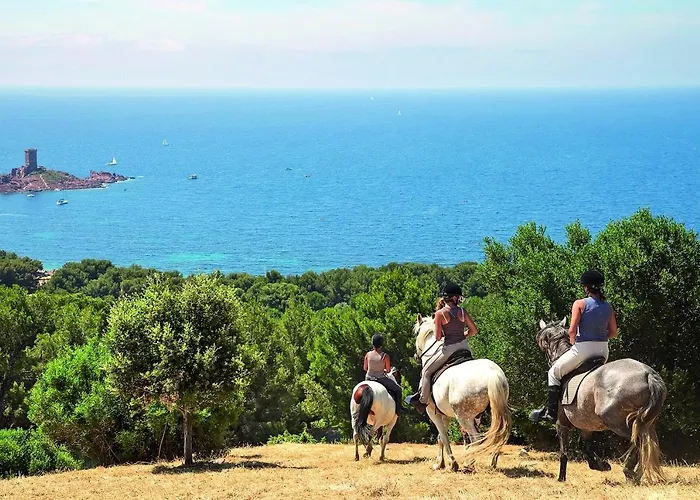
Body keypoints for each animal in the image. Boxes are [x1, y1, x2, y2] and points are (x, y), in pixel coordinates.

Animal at [414, 315, 511, 471]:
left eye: (416, 333)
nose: (416, 356)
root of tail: (492, 374)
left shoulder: (433, 413)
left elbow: (443, 436)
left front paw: (449, 463)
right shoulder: (445, 414)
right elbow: (441, 438)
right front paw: (442, 463)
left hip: (464, 417)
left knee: (476, 438)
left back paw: (469, 464)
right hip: (487, 414)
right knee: (498, 434)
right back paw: (491, 463)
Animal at [536, 318, 667, 484]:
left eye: (541, 340)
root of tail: (648, 374)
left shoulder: (562, 423)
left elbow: (564, 451)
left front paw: (561, 478)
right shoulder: (586, 424)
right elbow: (583, 444)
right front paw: (599, 465)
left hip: (615, 420)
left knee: (638, 440)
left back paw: (629, 471)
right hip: (645, 421)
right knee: (647, 442)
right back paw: (636, 474)